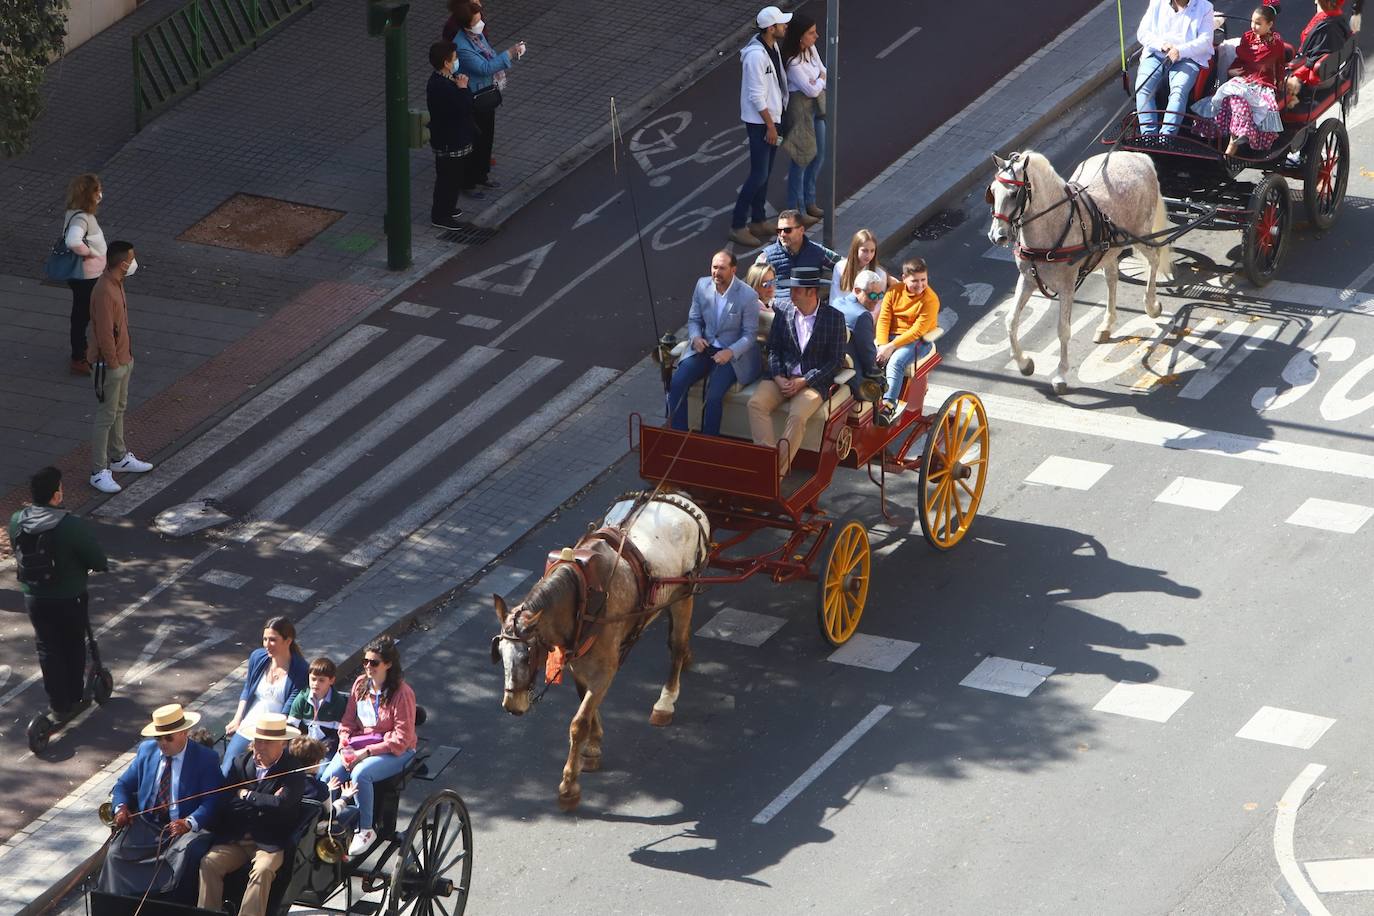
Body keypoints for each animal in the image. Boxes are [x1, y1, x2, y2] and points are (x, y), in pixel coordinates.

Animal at [491, 491, 708, 813]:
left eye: (528, 655)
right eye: (500, 653)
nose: (512, 706)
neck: (582, 596)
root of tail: (679, 497)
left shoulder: (605, 669)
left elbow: (578, 722)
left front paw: (569, 785)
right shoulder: (577, 664)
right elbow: (586, 706)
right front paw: (593, 747)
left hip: (685, 592)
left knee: (677, 645)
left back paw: (666, 701)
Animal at [989, 150, 1170, 395]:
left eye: (1015, 193)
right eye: (992, 192)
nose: (997, 236)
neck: (1055, 223)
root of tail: (1138, 157)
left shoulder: (1067, 286)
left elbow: (1063, 329)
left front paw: (1060, 375)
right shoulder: (1027, 281)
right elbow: (1011, 321)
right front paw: (1024, 363)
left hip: (1140, 235)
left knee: (1154, 258)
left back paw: (1151, 305)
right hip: (1110, 250)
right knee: (1112, 278)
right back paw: (1107, 324)